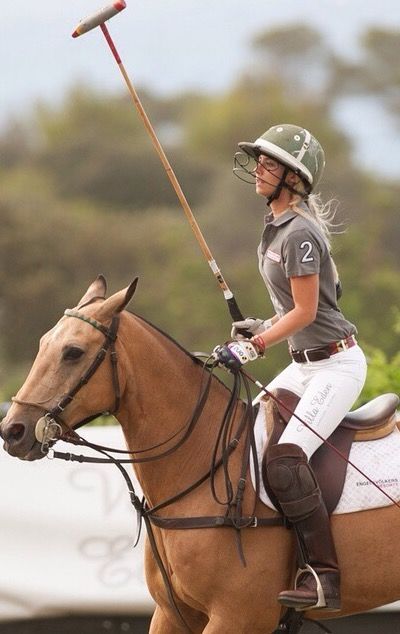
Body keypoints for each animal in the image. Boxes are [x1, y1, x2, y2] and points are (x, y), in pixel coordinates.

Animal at [0, 276, 400, 632]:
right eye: (43, 343)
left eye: (73, 352)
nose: (12, 430)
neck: (200, 461)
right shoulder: (173, 613)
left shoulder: (239, 616)